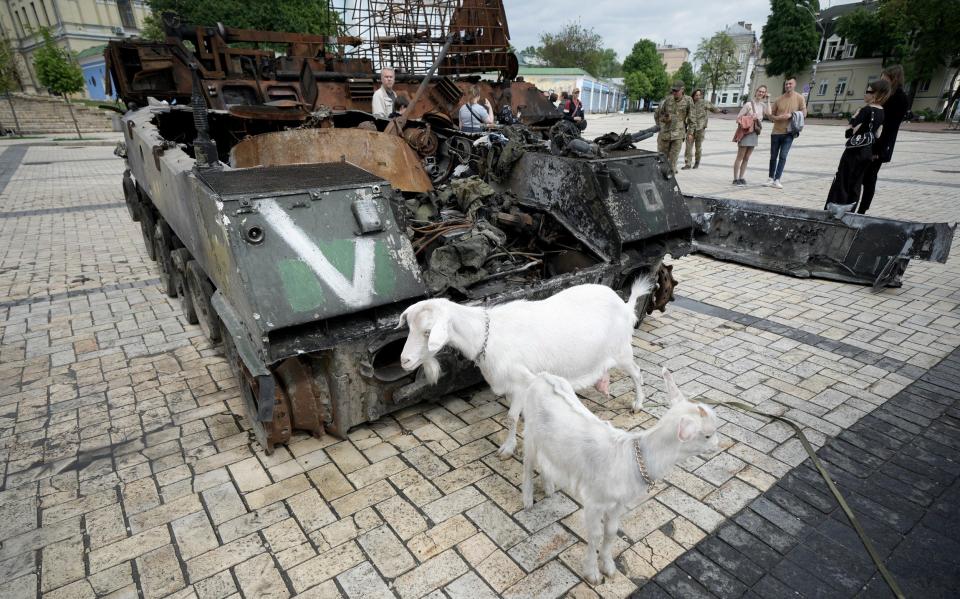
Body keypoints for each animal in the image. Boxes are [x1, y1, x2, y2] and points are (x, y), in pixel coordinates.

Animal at [398, 278, 652, 458]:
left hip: (622, 351)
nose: (404, 361)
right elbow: (517, 416)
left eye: (428, 332)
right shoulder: (512, 387)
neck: (486, 335)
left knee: (637, 373)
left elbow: (511, 418)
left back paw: (637, 404)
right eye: (409, 327)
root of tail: (625, 305)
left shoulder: (522, 381)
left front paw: (507, 449)